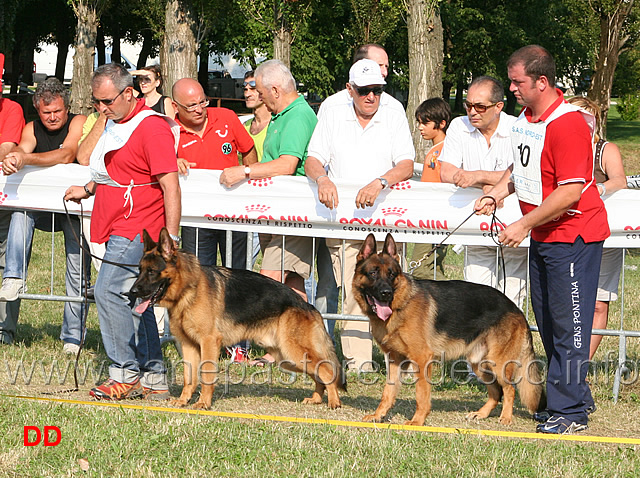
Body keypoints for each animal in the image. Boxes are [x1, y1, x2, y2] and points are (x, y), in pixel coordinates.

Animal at [129, 228, 344, 410]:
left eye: (151, 271)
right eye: (139, 270)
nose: (131, 292)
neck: (188, 289)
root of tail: (308, 306)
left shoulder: (208, 342)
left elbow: (206, 374)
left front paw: (203, 403)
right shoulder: (189, 345)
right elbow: (189, 377)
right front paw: (183, 401)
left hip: (292, 352)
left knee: (327, 370)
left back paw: (334, 402)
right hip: (287, 357)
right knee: (320, 372)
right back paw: (316, 399)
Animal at [356, 233, 544, 424]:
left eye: (392, 274)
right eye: (372, 273)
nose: (386, 293)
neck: (401, 304)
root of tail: (516, 309)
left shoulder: (422, 359)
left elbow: (421, 395)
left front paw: (417, 421)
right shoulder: (395, 360)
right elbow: (388, 391)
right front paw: (378, 415)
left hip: (498, 363)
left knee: (509, 389)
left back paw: (505, 417)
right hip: (479, 363)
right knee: (495, 391)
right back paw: (481, 414)